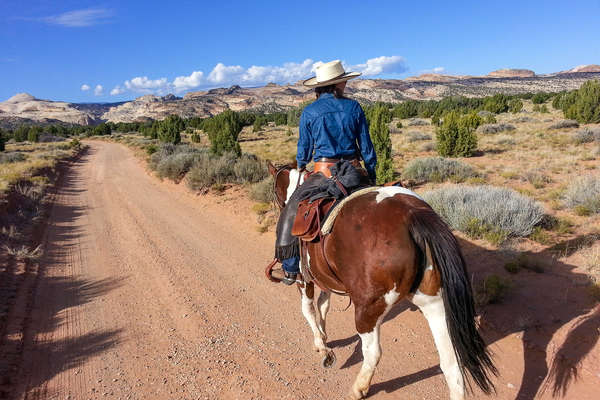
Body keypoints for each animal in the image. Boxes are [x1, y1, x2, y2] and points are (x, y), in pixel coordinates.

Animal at [268, 161, 496, 398]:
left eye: (274, 189)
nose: (278, 205)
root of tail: (413, 215)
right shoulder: (323, 278)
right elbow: (323, 306)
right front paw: (323, 334)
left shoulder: (305, 280)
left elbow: (309, 310)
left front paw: (322, 346)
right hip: (435, 304)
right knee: (451, 363)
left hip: (368, 308)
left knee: (373, 352)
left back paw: (358, 389)